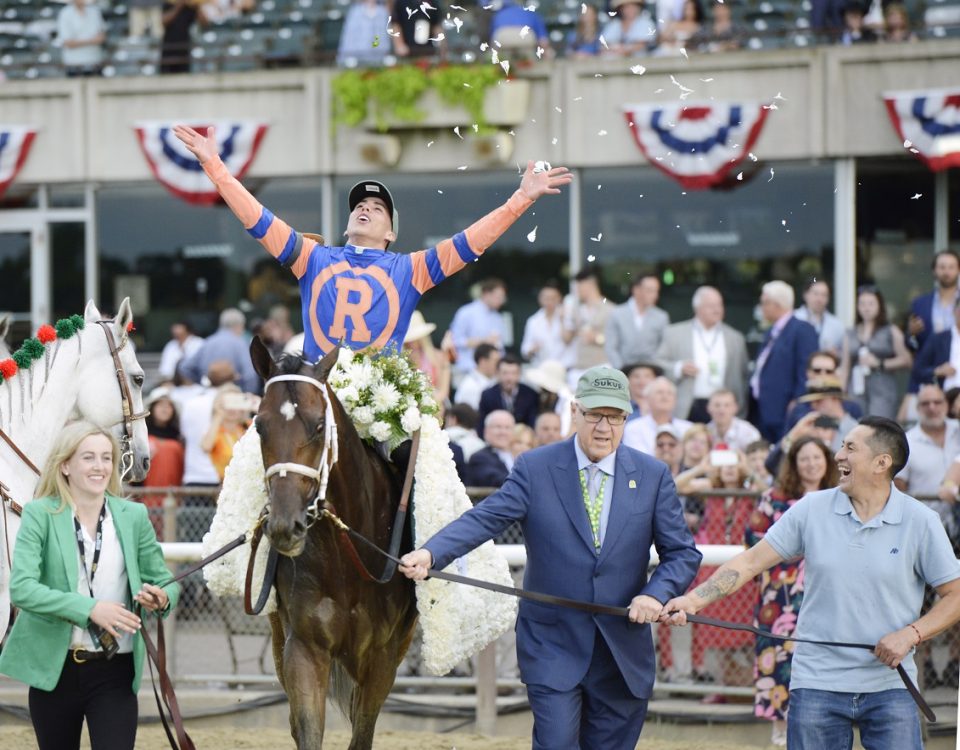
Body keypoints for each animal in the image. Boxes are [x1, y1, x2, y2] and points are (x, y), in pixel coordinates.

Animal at [251, 338, 420, 748]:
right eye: (260, 425)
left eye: (317, 425)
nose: (285, 526)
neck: (348, 562)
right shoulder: (304, 648)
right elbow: (307, 729)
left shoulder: (382, 657)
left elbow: (363, 731)